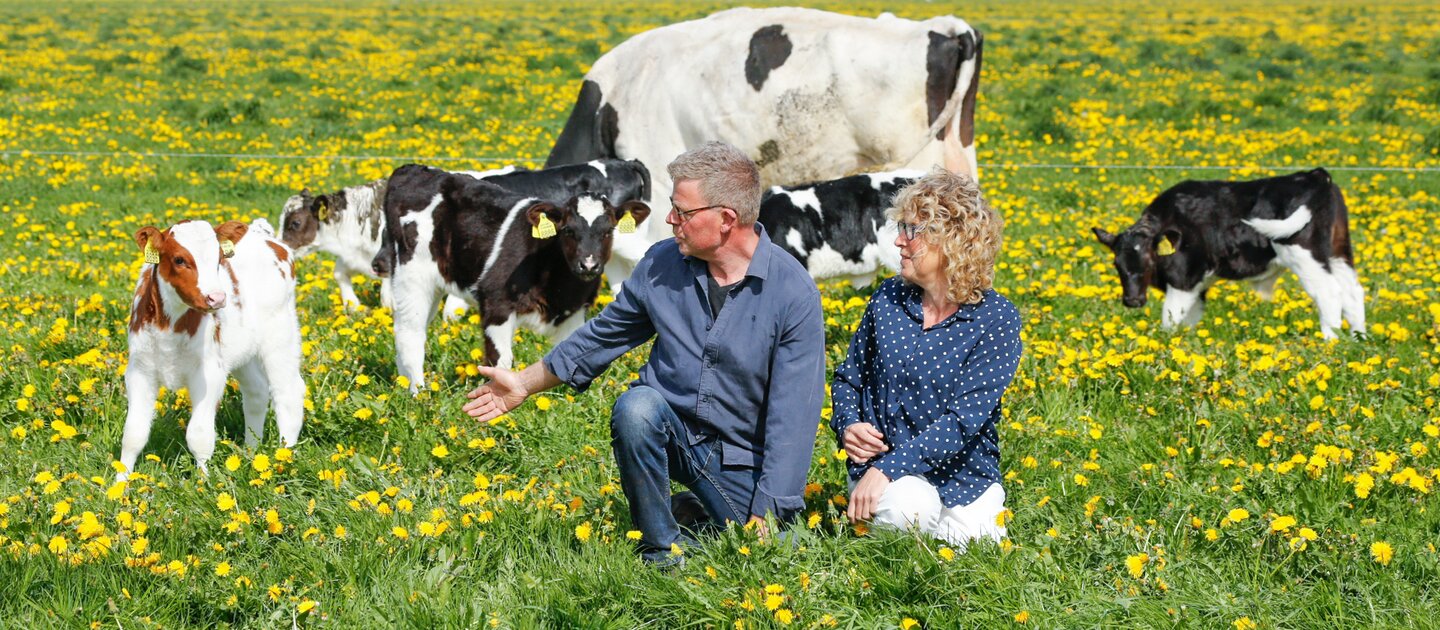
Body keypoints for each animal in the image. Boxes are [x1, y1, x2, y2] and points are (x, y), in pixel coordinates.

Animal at [118, 218, 306, 480]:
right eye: (179, 259)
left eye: (218, 258)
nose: (216, 298)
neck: (170, 325)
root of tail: (263, 234)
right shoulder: (139, 370)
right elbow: (133, 434)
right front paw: (119, 482)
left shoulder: (208, 372)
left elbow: (199, 435)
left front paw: (203, 481)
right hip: (242, 350)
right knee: (256, 392)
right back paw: (251, 451)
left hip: (280, 333)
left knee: (288, 393)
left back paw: (284, 457)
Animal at [385, 164, 650, 391]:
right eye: (568, 230)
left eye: (608, 231)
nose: (589, 265)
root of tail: (414, 168)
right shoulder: (496, 305)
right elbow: (500, 363)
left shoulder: (574, 312)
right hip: (412, 275)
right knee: (410, 333)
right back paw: (418, 392)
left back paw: (402, 384)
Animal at [1094, 164, 1365, 336]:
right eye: (1117, 264)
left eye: (1149, 260)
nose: (1133, 300)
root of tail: (1314, 175)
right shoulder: (1197, 286)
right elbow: (1188, 323)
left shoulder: (1184, 278)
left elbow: (1170, 320)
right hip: (1339, 252)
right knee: (1353, 291)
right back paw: (1357, 339)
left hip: (1305, 254)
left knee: (1329, 293)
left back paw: (1329, 343)